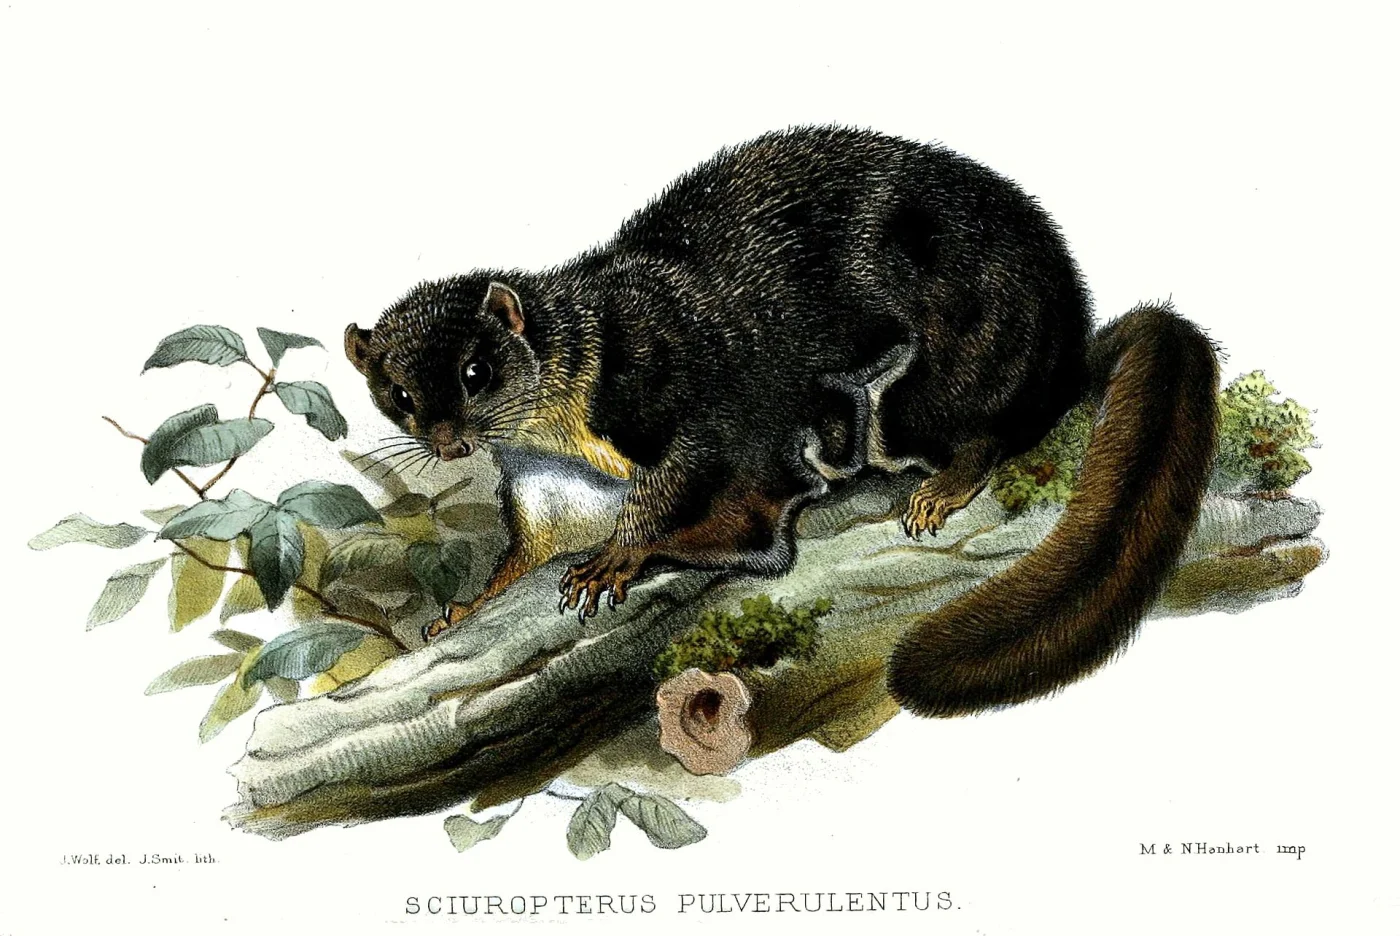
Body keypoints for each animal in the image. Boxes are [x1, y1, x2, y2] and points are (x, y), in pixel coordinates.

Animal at [344, 126, 1219, 718]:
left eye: (475, 372)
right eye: (400, 394)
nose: (451, 441)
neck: (561, 432)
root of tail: (1068, 342)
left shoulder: (672, 393)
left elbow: (692, 482)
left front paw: (620, 556)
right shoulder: (539, 479)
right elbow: (525, 546)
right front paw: (469, 604)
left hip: (956, 354)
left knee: (979, 431)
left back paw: (938, 482)